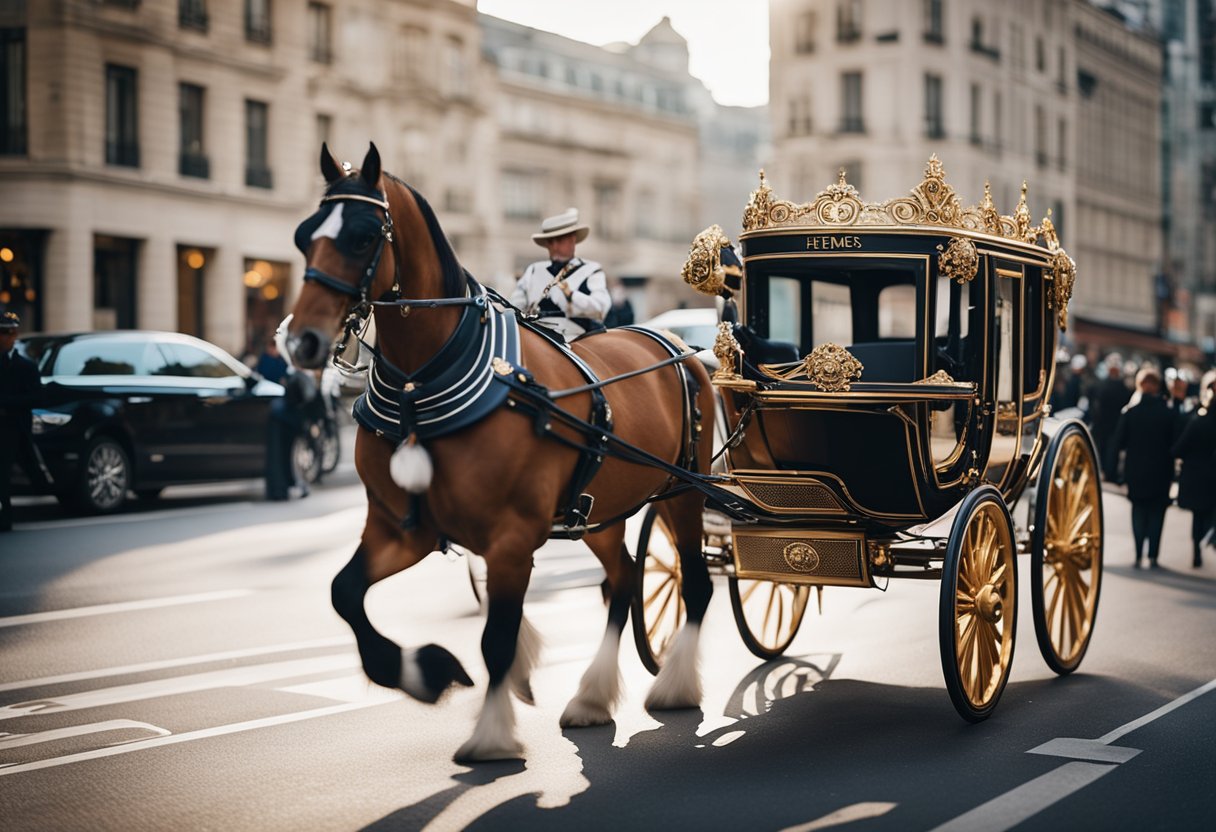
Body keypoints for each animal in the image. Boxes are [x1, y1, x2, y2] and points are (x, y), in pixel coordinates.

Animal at [284, 143, 715, 761]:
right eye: (303, 236)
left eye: (364, 237)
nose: (301, 341)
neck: (423, 387)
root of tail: (676, 343)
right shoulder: (401, 527)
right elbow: (346, 594)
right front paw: (424, 672)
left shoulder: (511, 540)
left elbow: (497, 638)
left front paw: (490, 734)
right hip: (601, 511)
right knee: (622, 580)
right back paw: (591, 697)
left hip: (682, 491)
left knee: (696, 583)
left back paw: (674, 686)